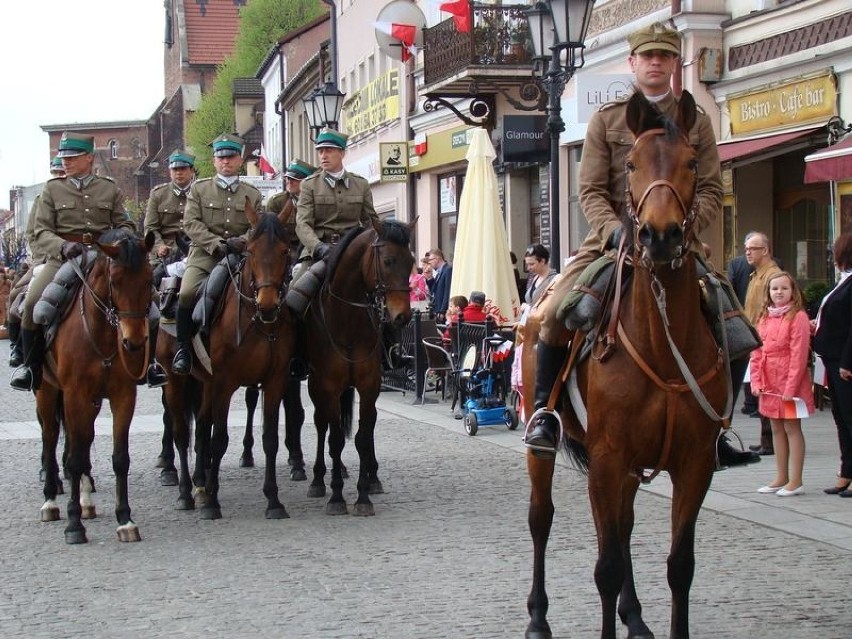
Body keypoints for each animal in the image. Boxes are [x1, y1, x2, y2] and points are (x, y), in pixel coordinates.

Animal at [37, 230, 155, 544]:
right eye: (115, 282)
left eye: (150, 280)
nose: (133, 343)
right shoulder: (74, 395)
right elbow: (75, 459)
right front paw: (74, 524)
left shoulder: (123, 395)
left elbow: (119, 458)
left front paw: (125, 519)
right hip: (47, 391)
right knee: (51, 437)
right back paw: (51, 502)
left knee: (83, 438)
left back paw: (86, 499)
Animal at [158, 202, 294, 524]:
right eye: (251, 251)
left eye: (285, 250)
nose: (267, 304)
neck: (257, 321)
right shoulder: (224, 382)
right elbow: (219, 439)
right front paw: (212, 503)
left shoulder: (275, 381)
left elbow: (270, 438)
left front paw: (273, 500)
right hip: (177, 381)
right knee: (182, 433)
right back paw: (186, 492)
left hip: (204, 384)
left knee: (200, 429)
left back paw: (200, 483)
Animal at [300, 219, 416, 516]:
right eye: (387, 260)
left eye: (411, 261)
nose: (403, 316)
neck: (348, 321)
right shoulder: (328, 386)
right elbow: (335, 439)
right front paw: (336, 496)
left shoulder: (369, 384)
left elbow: (363, 437)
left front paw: (363, 496)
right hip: (318, 387)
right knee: (322, 425)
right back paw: (319, 479)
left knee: (367, 426)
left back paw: (371, 477)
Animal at [524, 90, 728, 639]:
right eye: (631, 163)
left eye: (693, 162)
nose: (660, 236)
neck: (661, 346)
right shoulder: (609, 457)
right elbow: (608, 567)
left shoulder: (694, 463)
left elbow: (680, 565)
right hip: (551, 447)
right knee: (542, 519)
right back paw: (538, 617)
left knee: (620, 527)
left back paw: (634, 616)